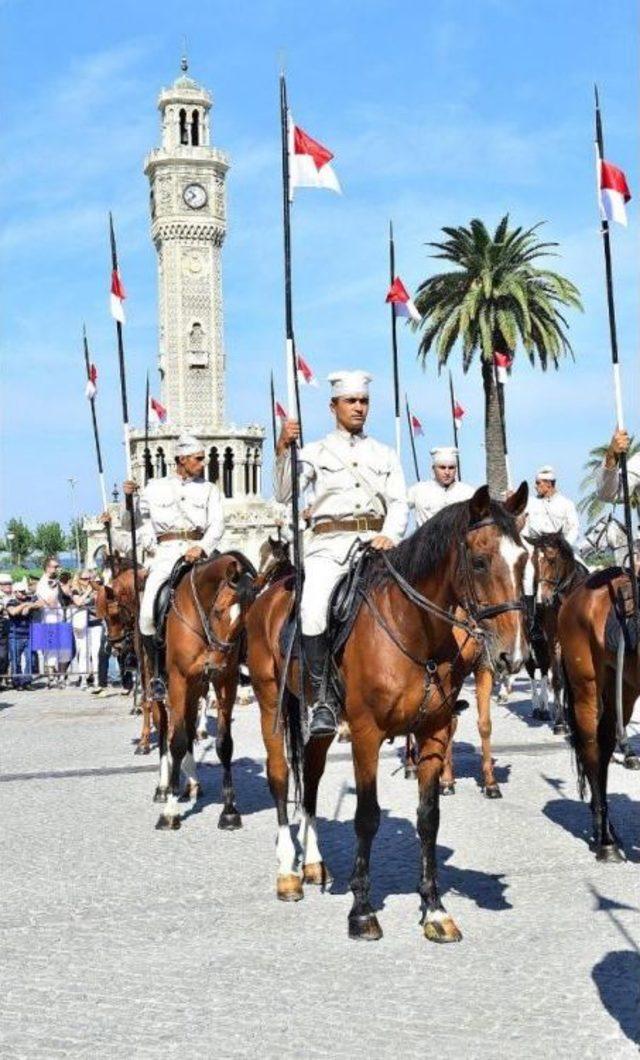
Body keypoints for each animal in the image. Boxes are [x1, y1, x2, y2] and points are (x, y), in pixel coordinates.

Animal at [153, 551, 256, 831]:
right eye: (219, 611)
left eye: (246, 618)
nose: (218, 662)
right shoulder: (178, 681)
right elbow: (176, 741)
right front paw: (170, 811)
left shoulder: (225, 681)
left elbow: (224, 743)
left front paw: (229, 810)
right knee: (165, 728)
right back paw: (164, 787)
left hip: (196, 688)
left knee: (189, 727)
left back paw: (191, 783)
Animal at [247, 485, 527, 941]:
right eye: (481, 561)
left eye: (523, 559)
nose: (513, 655)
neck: (414, 629)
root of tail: (271, 593)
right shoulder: (365, 735)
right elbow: (367, 817)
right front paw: (361, 910)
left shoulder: (434, 731)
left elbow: (429, 818)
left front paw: (434, 909)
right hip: (270, 700)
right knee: (280, 774)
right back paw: (288, 870)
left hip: (322, 723)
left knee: (311, 776)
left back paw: (312, 862)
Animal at [559, 572, 635, 860]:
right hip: (586, 689)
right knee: (591, 751)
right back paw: (606, 841)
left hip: (622, 690)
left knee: (604, 749)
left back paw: (604, 826)